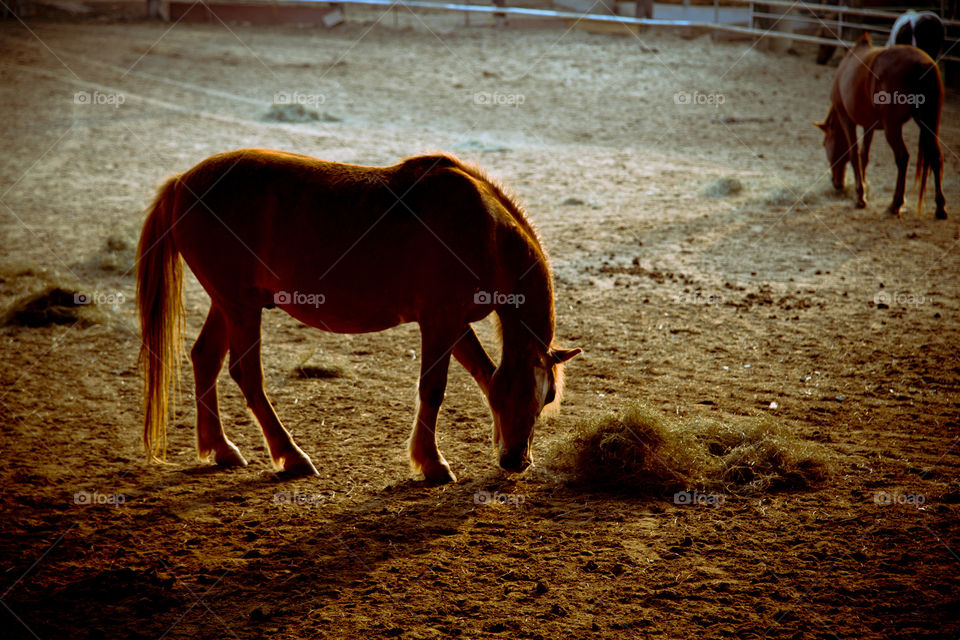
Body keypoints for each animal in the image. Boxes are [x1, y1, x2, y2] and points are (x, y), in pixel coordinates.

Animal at [136, 149, 580, 480]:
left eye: (547, 398)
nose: (516, 460)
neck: (485, 233)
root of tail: (182, 182)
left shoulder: (455, 324)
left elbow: (483, 376)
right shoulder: (440, 321)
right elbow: (433, 389)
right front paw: (431, 462)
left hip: (228, 304)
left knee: (205, 359)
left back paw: (221, 448)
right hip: (240, 307)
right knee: (247, 375)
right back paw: (291, 455)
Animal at [812, 32, 948, 218]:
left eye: (825, 143)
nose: (836, 183)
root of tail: (922, 63)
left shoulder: (847, 120)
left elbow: (854, 154)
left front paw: (860, 197)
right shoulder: (868, 125)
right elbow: (864, 156)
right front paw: (862, 190)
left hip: (893, 127)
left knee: (902, 158)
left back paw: (895, 204)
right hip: (928, 123)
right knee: (935, 156)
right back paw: (940, 207)